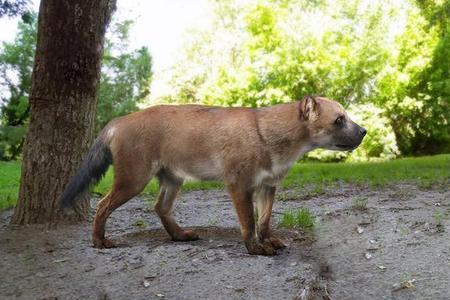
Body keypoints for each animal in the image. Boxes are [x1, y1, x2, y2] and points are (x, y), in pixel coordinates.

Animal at [60, 96, 366, 255]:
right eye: (339, 120)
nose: (364, 132)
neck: (268, 136)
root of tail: (118, 120)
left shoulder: (267, 187)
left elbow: (265, 221)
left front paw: (269, 241)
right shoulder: (239, 186)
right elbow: (249, 223)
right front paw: (256, 249)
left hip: (172, 181)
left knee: (159, 208)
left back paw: (180, 236)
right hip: (133, 181)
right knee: (102, 206)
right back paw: (99, 242)